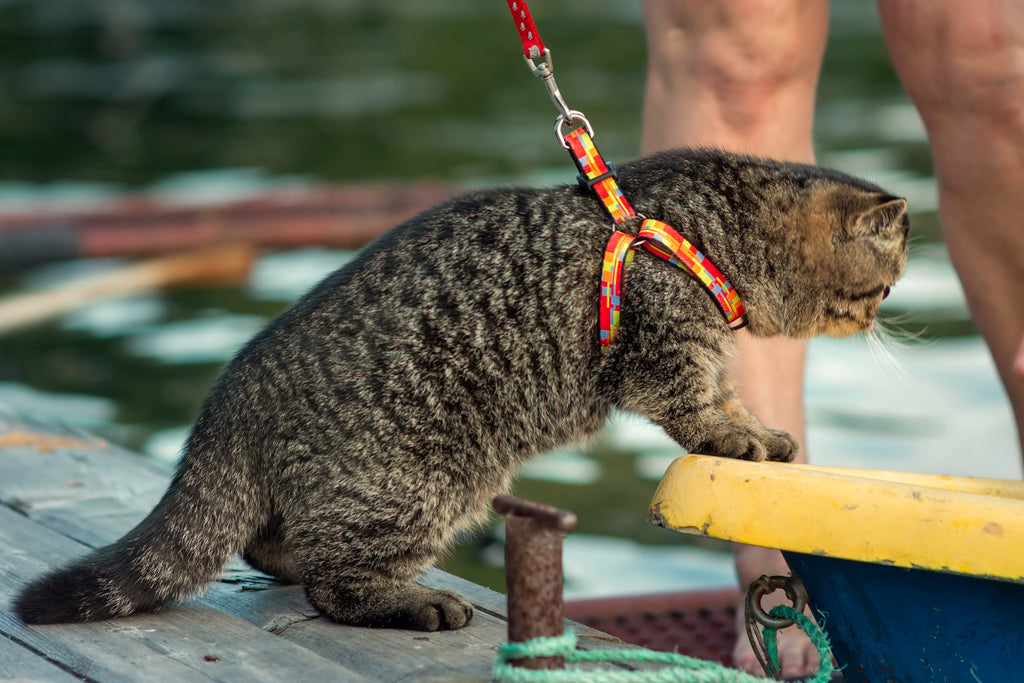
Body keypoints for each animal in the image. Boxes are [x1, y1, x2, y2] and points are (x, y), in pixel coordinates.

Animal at [14, 148, 913, 630]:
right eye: (886, 283)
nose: (888, 312)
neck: (712, 229)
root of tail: (234, 390)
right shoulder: (669, 353)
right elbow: (706, 411)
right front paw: (747, 435)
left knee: (273, 543)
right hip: (425, 482)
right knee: (335, 581)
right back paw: (410, 602)